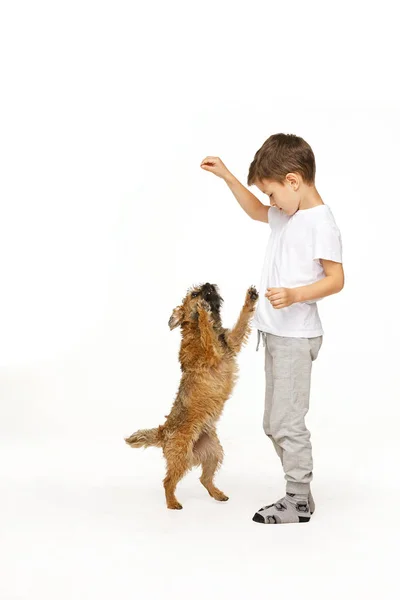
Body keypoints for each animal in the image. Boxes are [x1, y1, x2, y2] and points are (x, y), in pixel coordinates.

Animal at [123, 284, 260, 508]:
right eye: (194, 294)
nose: (208, 285)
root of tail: (163, 431)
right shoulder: (212, 353)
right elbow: (207, 334)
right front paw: (203, 313)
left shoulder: (231, 342)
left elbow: (242, 319)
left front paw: (250, 298)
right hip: (181, 455)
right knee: (168, 481)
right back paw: (172, 503)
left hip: (214, 452)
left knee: (204, 478)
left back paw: (217, 494)